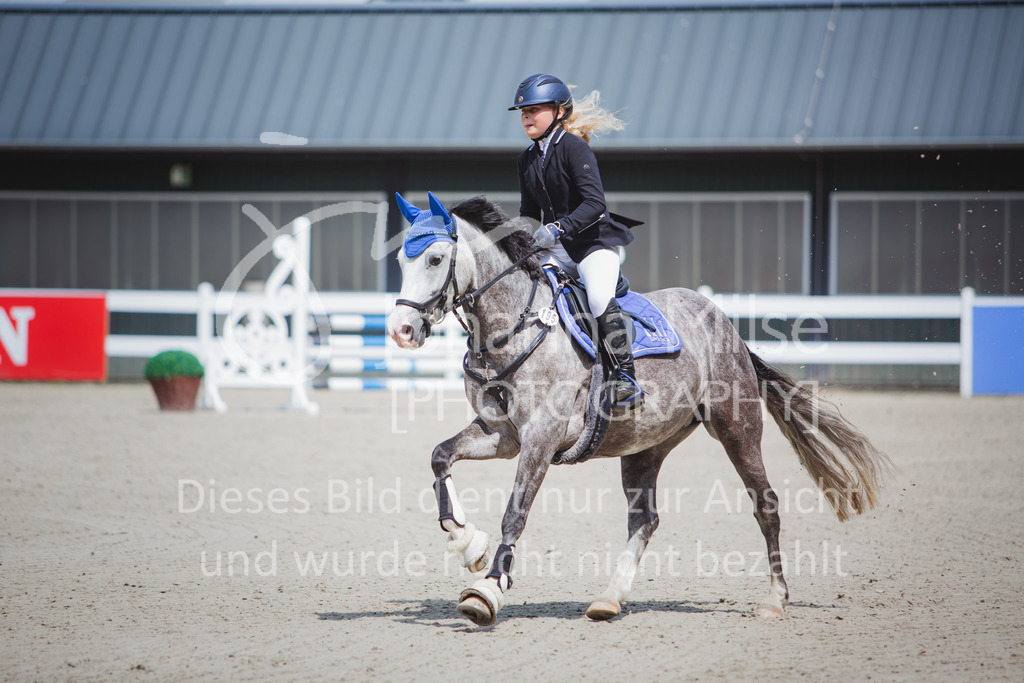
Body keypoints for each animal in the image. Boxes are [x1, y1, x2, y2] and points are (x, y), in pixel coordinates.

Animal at [386, 192, 894, 627]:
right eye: (400, 261)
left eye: (435, 259)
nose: (401, 330)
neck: (511, 326)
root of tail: (724, 322)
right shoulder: (502, 435)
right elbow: (440, 455)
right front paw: (466, 542)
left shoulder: (540, 438)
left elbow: (516, 511)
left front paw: (487, 590)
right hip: (645, 445)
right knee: (644, 519)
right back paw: (609, 598)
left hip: (737, 428)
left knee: (765, 506)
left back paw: (774, 600)